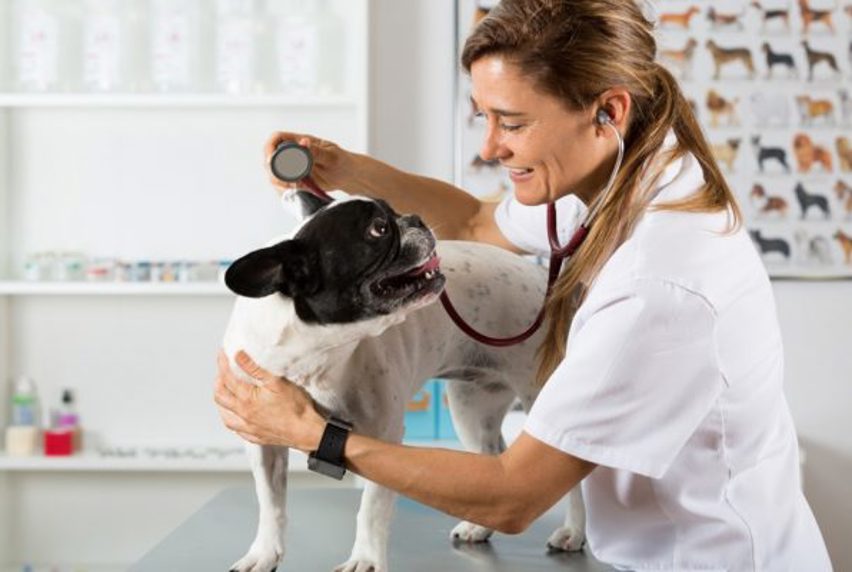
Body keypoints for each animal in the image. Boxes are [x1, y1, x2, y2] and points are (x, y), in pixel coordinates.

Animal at [223, 192, 588, 572]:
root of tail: (544, 280)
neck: (316, 356)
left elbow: (370, 509)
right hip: (471, 411)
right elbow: (270, 502)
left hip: (538, 394)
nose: (415, 218)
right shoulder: (262, 440)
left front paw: (365, 560)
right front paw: (264, 553)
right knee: (492, 461)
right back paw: (479, 527)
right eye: (378, 229)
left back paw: (573, 531)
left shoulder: (379, 441)